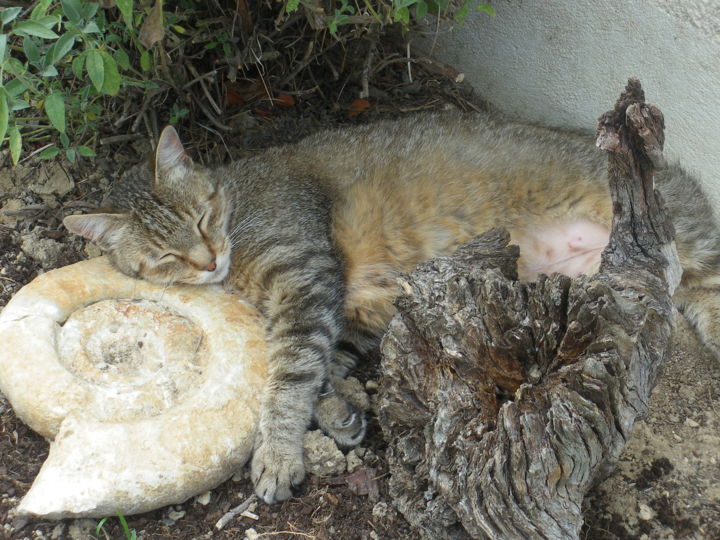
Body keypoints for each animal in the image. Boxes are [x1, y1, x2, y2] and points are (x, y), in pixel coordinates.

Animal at [64, 112, 720, 504]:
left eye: (201, 218)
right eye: (164, 255)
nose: (205, 262)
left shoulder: (307, 280)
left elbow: (291, 376)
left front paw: (277, 451)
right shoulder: (352, 309)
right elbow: (322, 367)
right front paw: (336, 414)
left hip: (682, 239)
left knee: (707, 286)